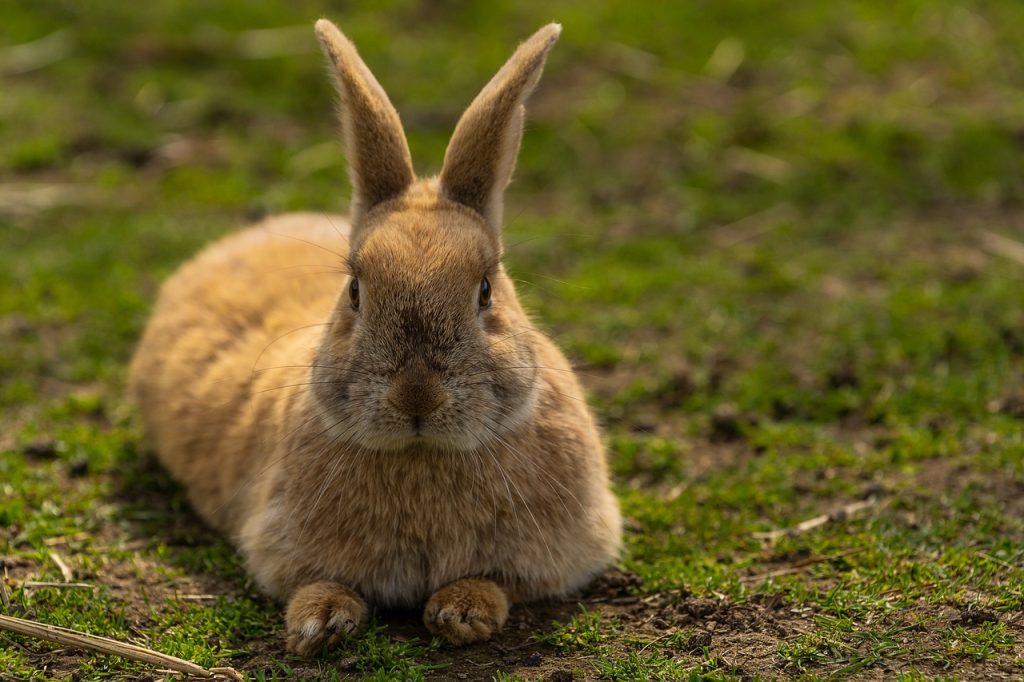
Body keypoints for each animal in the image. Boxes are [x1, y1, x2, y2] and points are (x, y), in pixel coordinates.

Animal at [129, 19, 622, 656]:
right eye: (355, 291)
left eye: (485, 291)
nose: (416, 397)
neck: (422, 454)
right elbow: (317, 582)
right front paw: (318, 623)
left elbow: (497, 582)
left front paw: (463, 611)